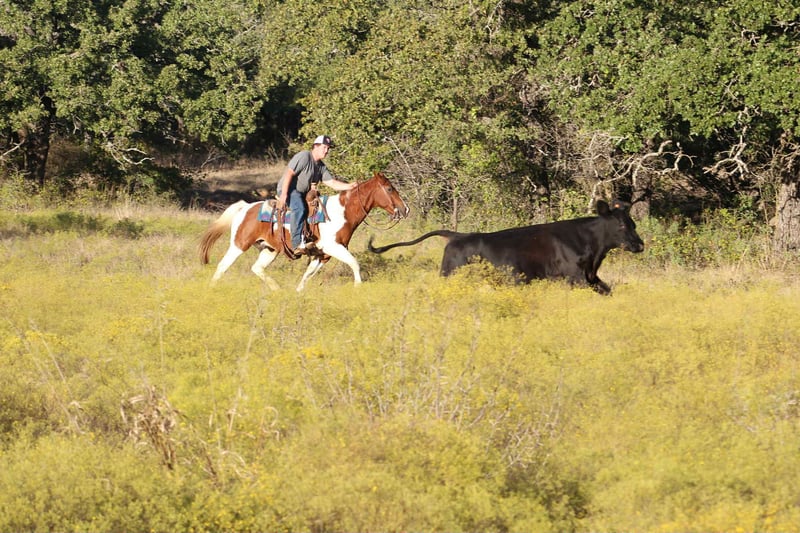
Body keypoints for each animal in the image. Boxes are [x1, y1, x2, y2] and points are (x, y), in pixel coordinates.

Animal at [199, 171, 409, 291]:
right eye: (389, 189)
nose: (405, 209)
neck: (341, 213)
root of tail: (245, 207)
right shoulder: (333, 248)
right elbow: (354, 263)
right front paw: (358, 287)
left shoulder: (322, 254)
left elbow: (308, 275)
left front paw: (298, 292)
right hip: (239, 244)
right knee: (222, 266)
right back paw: (211, 289)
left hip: (269, 249)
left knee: (256, 268)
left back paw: (276, 289)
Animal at [368, 200, 644, 295]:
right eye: (621, 225)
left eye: (633, 223)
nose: (640, 245)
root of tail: (457, 235)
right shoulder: (574, 277)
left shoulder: (591, 276)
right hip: (450, 273)